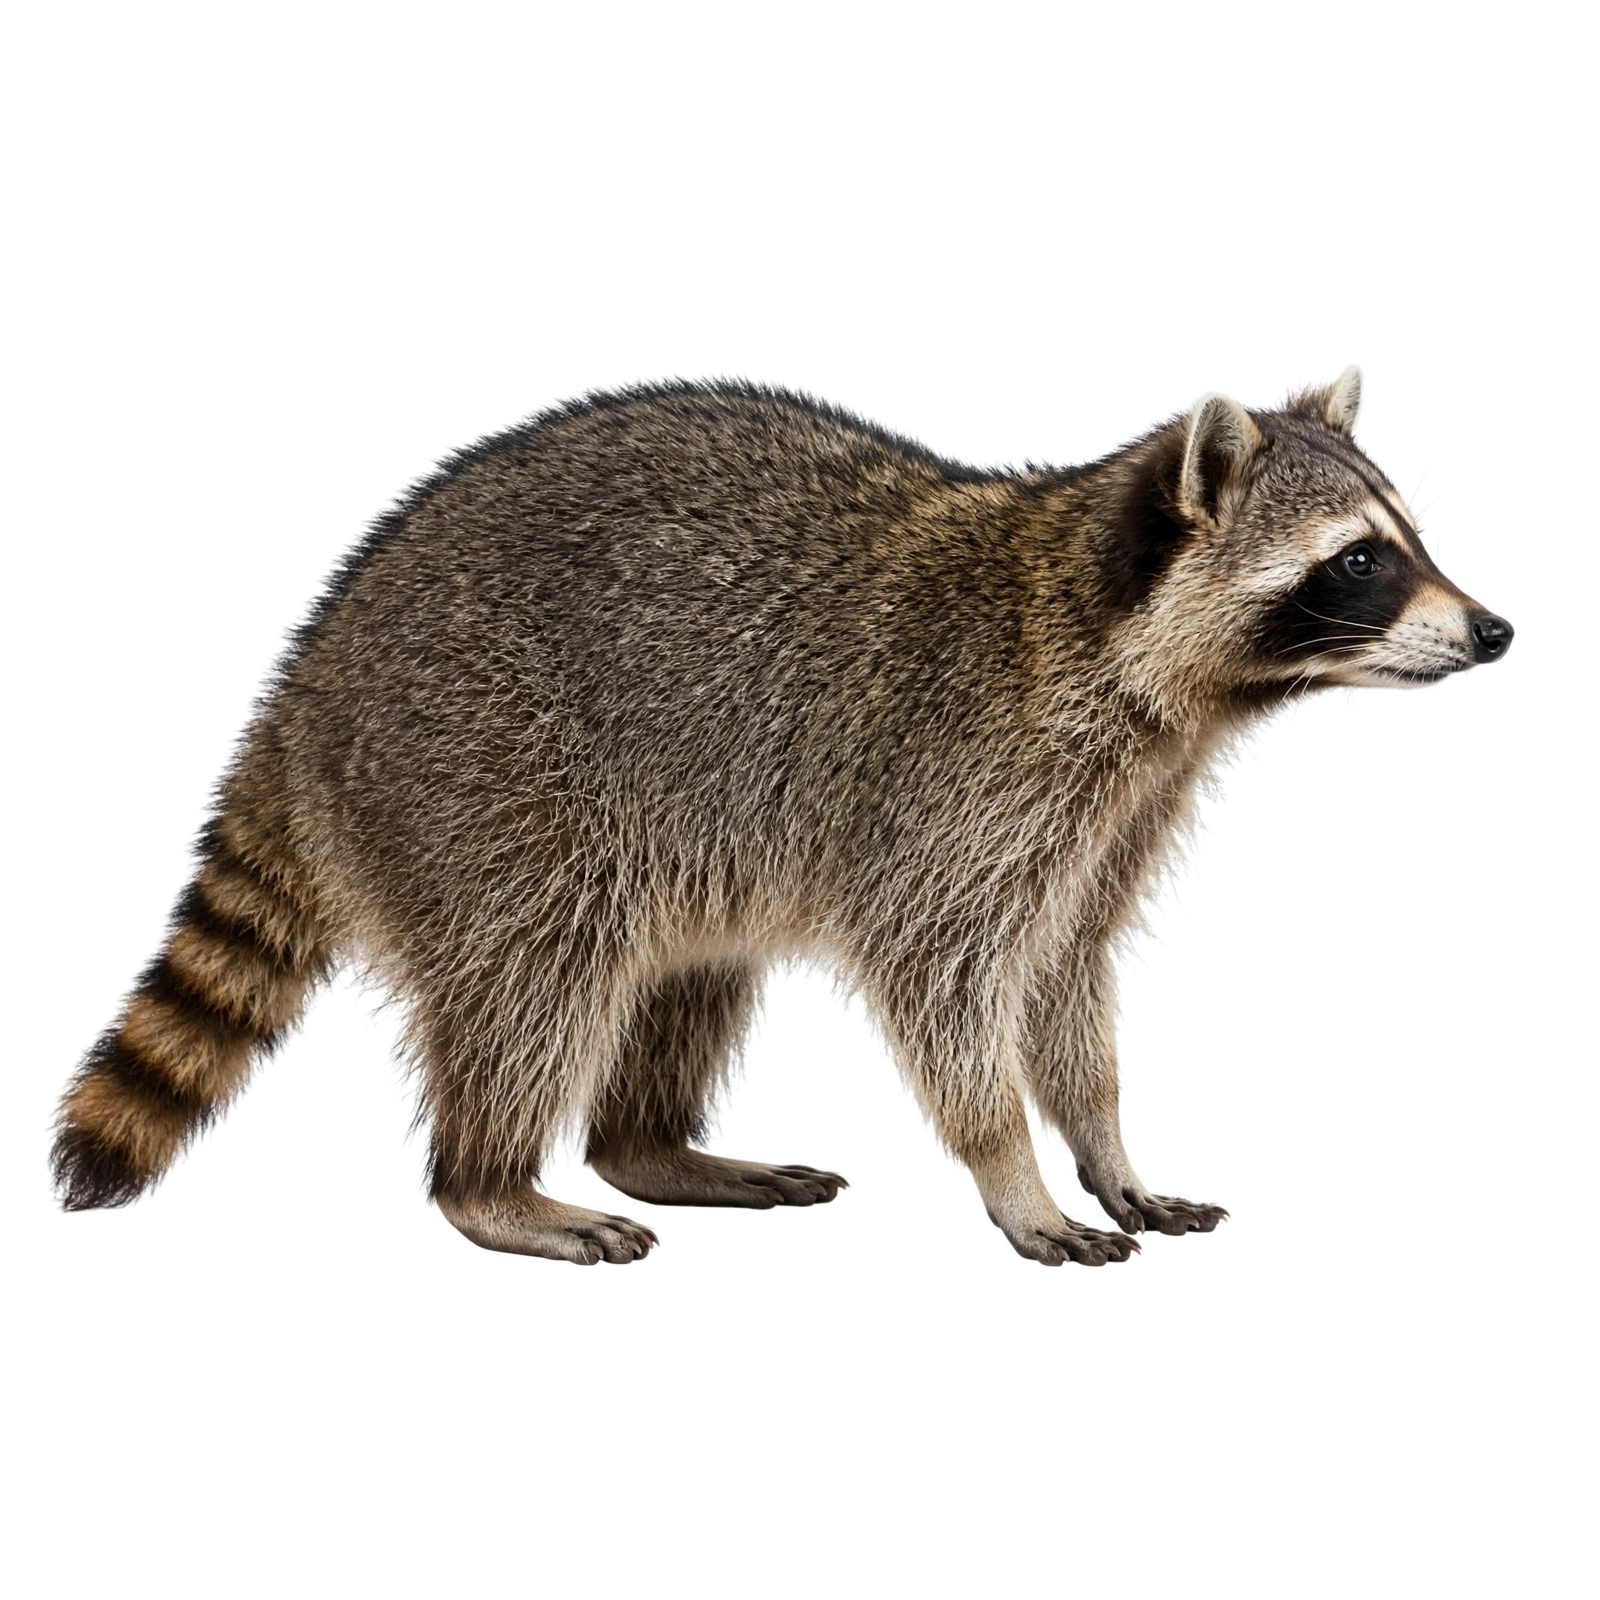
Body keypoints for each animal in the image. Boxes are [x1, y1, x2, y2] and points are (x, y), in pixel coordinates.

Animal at [50, 368, 1513, 1267]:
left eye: (1410, 537)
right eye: (1359, 561)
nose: (1495, 630)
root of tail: (308, 680)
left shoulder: (1105, 816)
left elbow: (1063, 982)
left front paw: (1105, 1140)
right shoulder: (958, 790)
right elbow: (947, 988)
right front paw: (1012, 1167)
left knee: (682, 974)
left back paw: (649, 1146)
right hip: (479, 775)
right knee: (535, 971)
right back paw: (494, 1181)